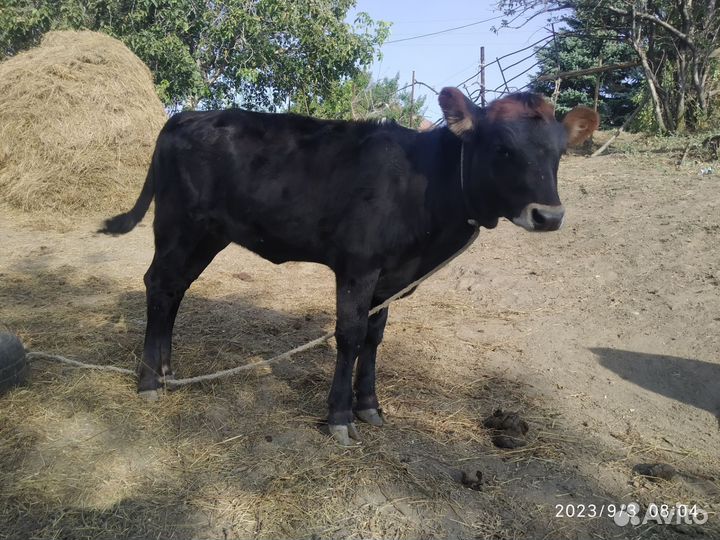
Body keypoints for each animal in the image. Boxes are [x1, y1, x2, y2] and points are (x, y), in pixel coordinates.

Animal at [101, 88, 599, 446]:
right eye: (502, 148)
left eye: (558, 152)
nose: (549, 216)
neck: (424, 184)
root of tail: (186, 115)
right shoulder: (358, 266)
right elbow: (350, 334)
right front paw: (340, 416)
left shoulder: (392, 276)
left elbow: (375, 337)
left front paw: (370, 405)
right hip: (177, 225)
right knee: (158, 283)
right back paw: (148, 379)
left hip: (208, 235)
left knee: (175, 288)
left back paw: (167, 371)